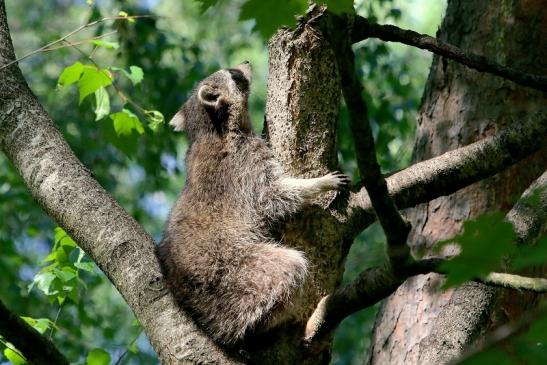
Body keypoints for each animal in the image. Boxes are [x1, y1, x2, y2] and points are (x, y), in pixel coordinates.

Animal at [157, 62, 352, 344]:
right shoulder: (245, 164)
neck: (209, 128)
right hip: (233, 270)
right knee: (289, 268)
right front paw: (317, 184)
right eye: (233, 74)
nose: (246, 63)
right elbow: (273, 196)